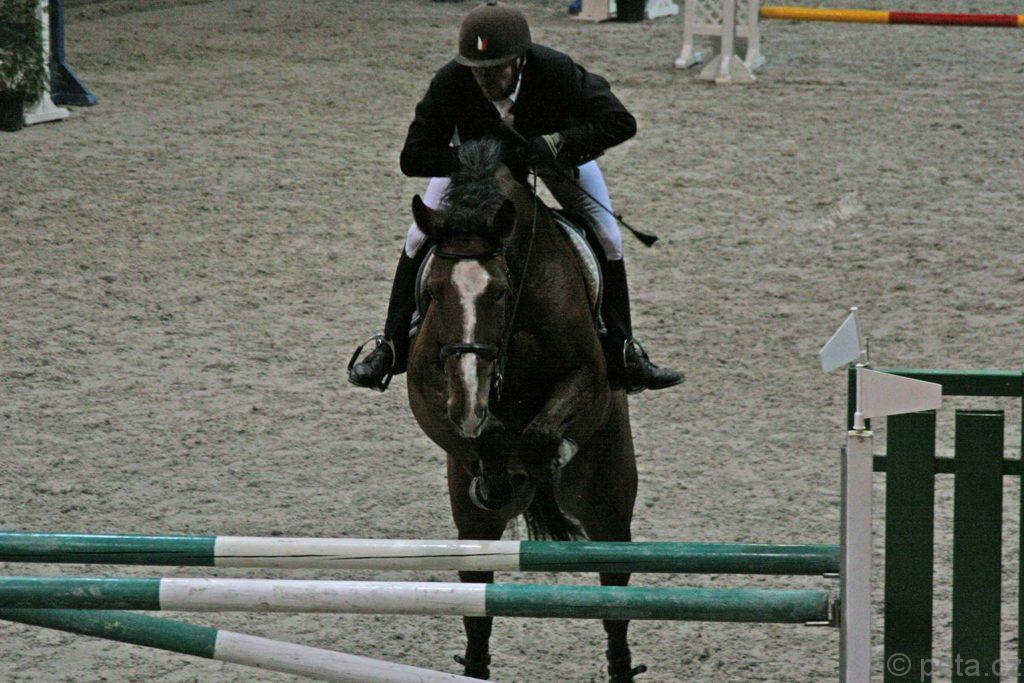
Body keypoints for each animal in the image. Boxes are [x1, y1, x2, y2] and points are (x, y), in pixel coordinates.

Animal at [405, 138, 644, 682]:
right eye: (434, 290)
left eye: (499, 291)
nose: (469, 404)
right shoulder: (427, 387)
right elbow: (483, 434)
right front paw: (493, 466)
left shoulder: (586, 377)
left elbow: (539, 434)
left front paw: (546, 458)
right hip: (472, 527)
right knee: (477, 595)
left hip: (609, 506)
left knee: (615, 593)